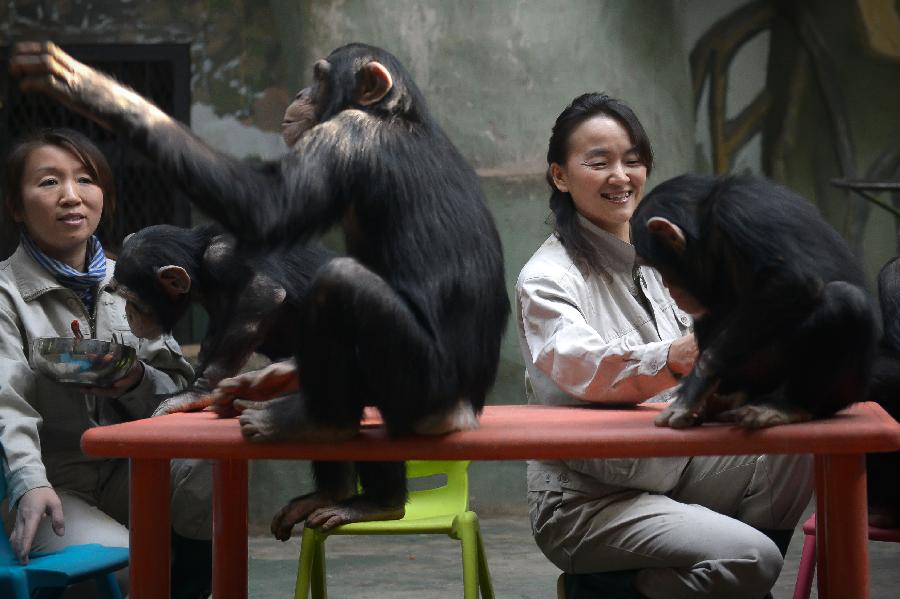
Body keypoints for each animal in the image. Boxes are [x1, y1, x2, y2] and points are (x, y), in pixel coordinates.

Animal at [110, 225, 334, 418]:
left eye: (132, 300)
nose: (128, 312)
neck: (199, 257)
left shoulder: (224, 257)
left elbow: (264, 293)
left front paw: (196, 393)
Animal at [628, 173, 876, 432]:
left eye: (655, 265)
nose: (667, 286)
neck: (708, 225)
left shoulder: (740, 210)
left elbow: (793, 281)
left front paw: (695, 385)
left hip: (843, 392)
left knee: (845, 300)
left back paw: (784, 406)